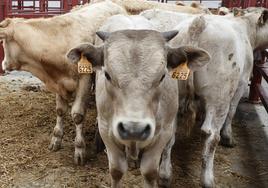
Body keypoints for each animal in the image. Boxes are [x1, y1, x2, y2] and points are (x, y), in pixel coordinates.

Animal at [0, 0, 127, 164]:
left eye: (4, 42)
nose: (4, 64)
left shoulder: (84, 79)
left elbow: (77, 115)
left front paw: (79, 149)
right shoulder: (58, 82)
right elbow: (60, 110)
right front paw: (56, 139)